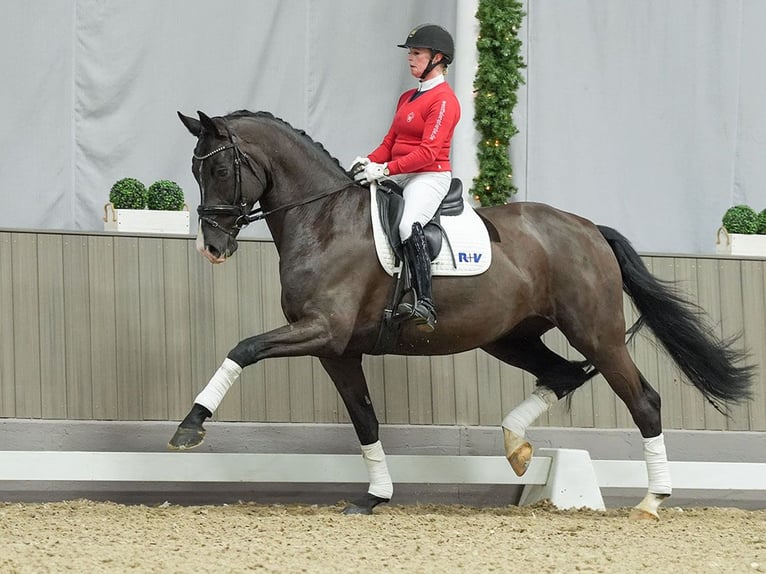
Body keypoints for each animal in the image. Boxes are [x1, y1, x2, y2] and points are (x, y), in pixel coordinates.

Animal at [170, 109, 756, 520]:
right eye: (196, 169)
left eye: (218, 166)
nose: (212, 247)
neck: (323, 219)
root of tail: (589, 228)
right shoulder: (337, 350)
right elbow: (364, 419)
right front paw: (375, 496)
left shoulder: (321, 331)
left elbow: (243, 348)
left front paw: (189, 427)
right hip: (510, 337)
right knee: (563, 374)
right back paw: (516, 447)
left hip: (598, 334)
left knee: (643, 400)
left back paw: (653, 499)